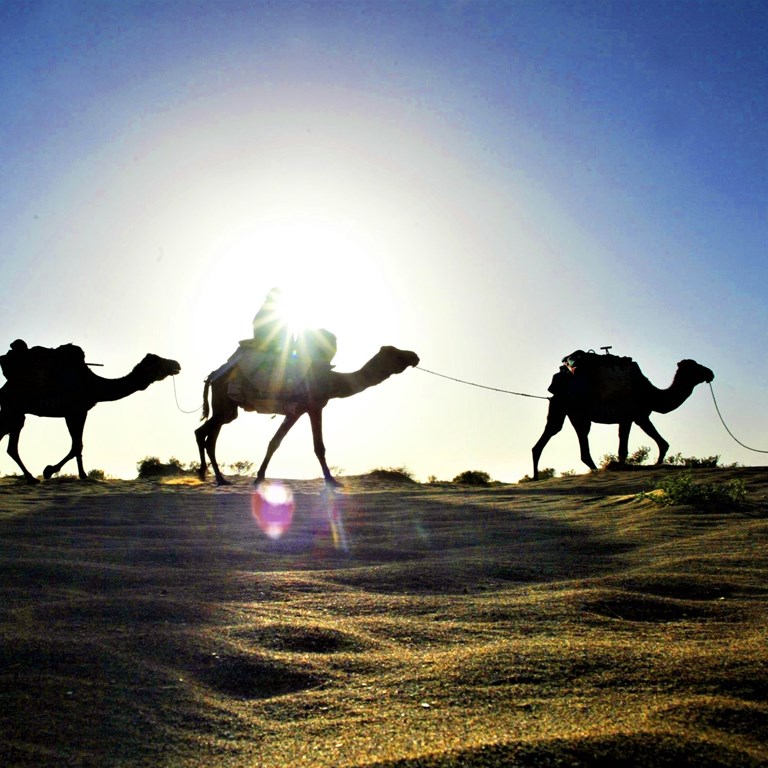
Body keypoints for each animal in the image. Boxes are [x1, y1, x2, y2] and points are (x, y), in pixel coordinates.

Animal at [0, 344, 182, 484]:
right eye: (158, 362)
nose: (177, 364)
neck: (95, 385)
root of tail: (4, 388)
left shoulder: (77, 412)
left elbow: (77, 445)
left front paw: (81, 475)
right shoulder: (76, 411)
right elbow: (77, 445)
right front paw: (49, 470)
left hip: (13, 413)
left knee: (9, 444)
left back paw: (30, 478)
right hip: (13, 410)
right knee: (11, 445)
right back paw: (31, 478)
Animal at [195, 344, 416, 486]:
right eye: (396, 354)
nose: (414, 356)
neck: (331, 381)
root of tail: (213, 376)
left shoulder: (298, 410)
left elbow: (275, 442)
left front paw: (260, 476)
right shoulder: (311, 407)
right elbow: (316, 446)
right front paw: (331, 480)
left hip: (227, 410)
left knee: (208, 435)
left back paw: (214, 476)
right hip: (225, 404)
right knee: (203, 434)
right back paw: (214, 476)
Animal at [536, 356, 712, 480]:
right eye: (695, 367)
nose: (710, 373)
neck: (652, 394)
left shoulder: (639, 417)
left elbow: (661, 442)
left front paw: (657, 463)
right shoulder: (632, 415)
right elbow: (625, 448)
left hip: (564, 409)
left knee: (554, 431)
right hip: (575, 410)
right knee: (573, 434)